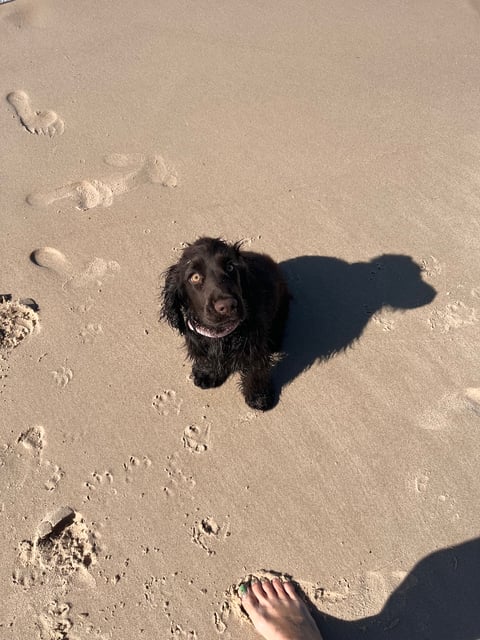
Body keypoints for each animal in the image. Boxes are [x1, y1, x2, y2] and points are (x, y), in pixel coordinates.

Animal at [160, 236, 288, 410]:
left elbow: (256, 368)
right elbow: (207, 359)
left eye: (230, 267)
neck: (222, 334)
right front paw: (206, 373)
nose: (227, 306)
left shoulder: (255, 346)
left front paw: (258, 396)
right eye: (195, 277)